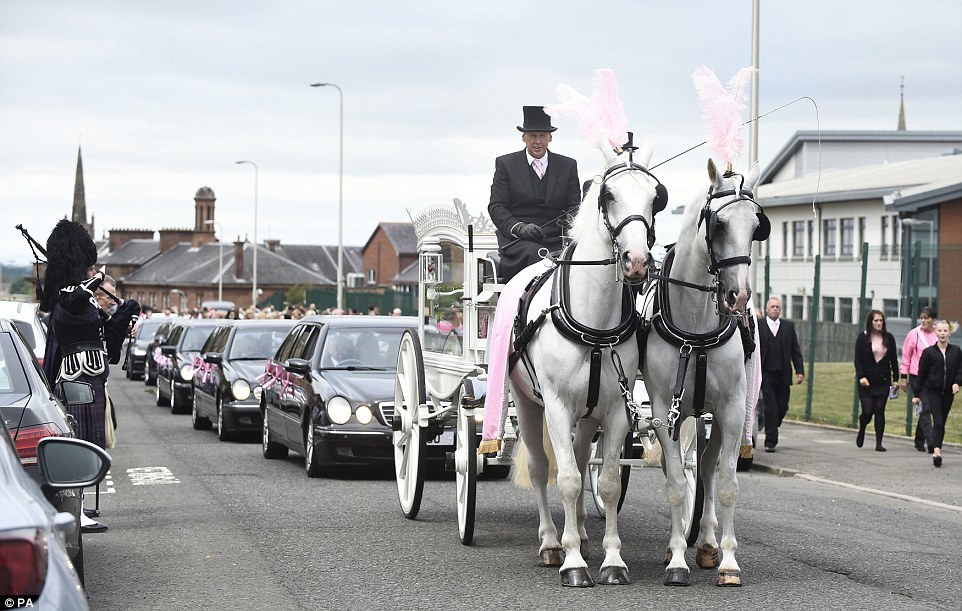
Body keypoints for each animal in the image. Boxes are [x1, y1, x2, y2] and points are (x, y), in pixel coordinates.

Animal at [510, 143, 660, 588]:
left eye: (655, 197)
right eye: (607, 196)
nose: (636, 262)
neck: (595, 324)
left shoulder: (616, 410)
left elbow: (605, 484)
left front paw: (612, 561)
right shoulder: (557, 407)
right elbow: (568, 480)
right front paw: (572, 562)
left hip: (588, 414)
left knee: (577, 457)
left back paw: (579, 533)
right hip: (527, 403)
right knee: (543, 469)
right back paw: (550, 542)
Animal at [640, 159, 768, 588]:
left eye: (756, 225)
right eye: (719, 224)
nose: (737, 297)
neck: (695, 327)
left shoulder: (731, 408)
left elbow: (726, 483)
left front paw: (728, 561)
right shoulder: (663, 409)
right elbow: (677, 484)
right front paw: (677, 560)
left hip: (709, 413)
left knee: (709, 468)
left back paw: (709, 543)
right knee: (676, 470)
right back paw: (675, 544)